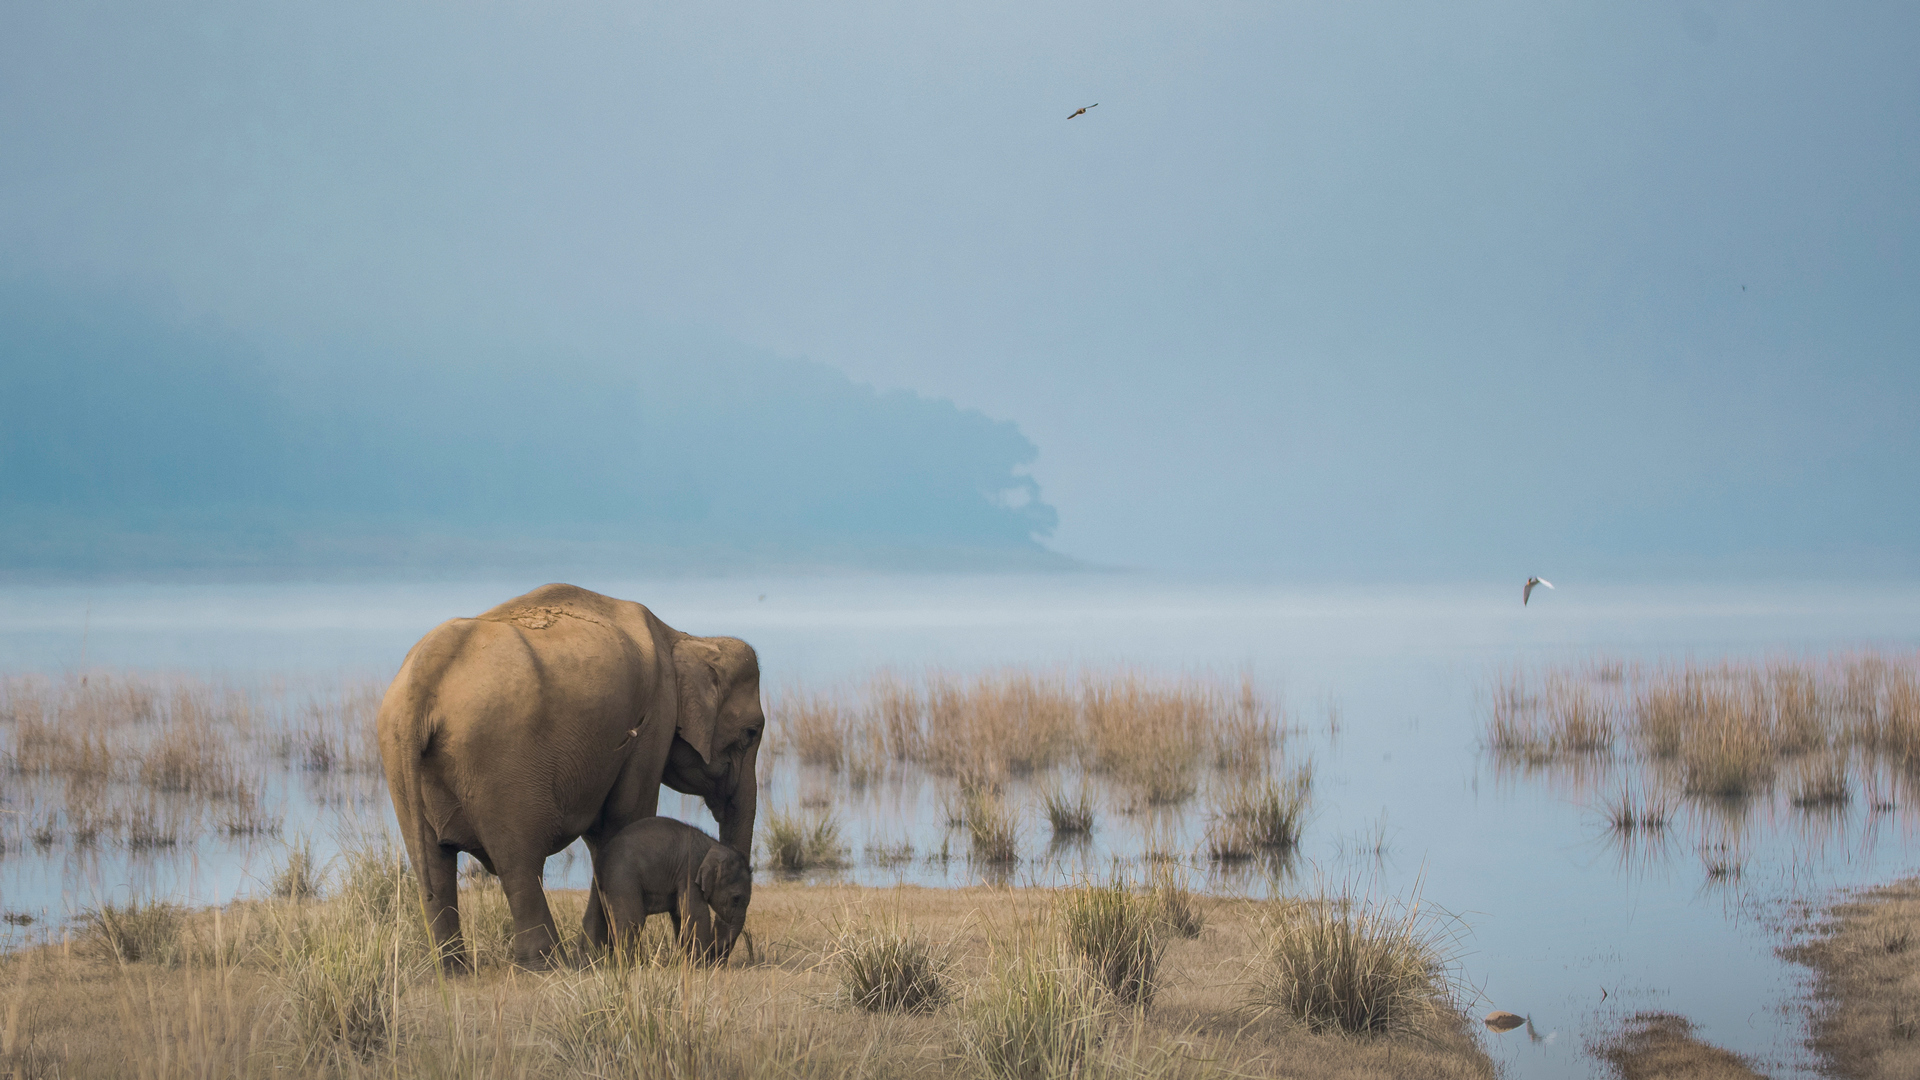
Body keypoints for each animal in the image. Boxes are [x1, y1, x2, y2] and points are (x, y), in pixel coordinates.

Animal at [599, 814, 748, 957]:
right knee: (632, 920)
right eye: (736, 898)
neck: (713, 845)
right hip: (622, 879)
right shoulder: (690, 870)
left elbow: (680, 914)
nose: (714, 949)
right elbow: (696, 912)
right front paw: (702, 962)